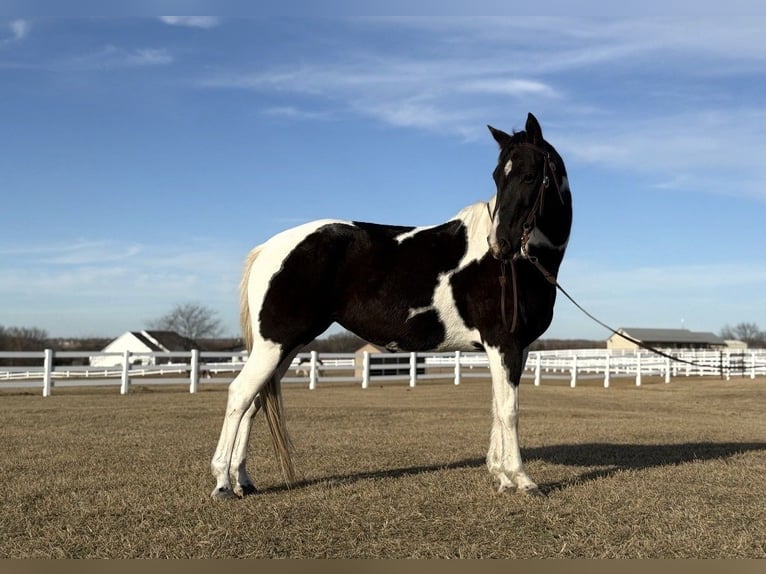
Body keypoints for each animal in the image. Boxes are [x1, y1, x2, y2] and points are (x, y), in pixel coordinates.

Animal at [210, 112, 573, 499]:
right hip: (275, 345)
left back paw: (243, 481)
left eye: (529, 175)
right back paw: (222, 482)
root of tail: (267, 248)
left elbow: (495, 407)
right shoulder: (503, 344)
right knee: (239, 395)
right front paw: (522, 479)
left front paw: (502, 477)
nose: (499, 243)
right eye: (497, 177)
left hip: (286, 347)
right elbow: (509, 411)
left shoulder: (513, 349)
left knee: (254, 401)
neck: (523, 264)